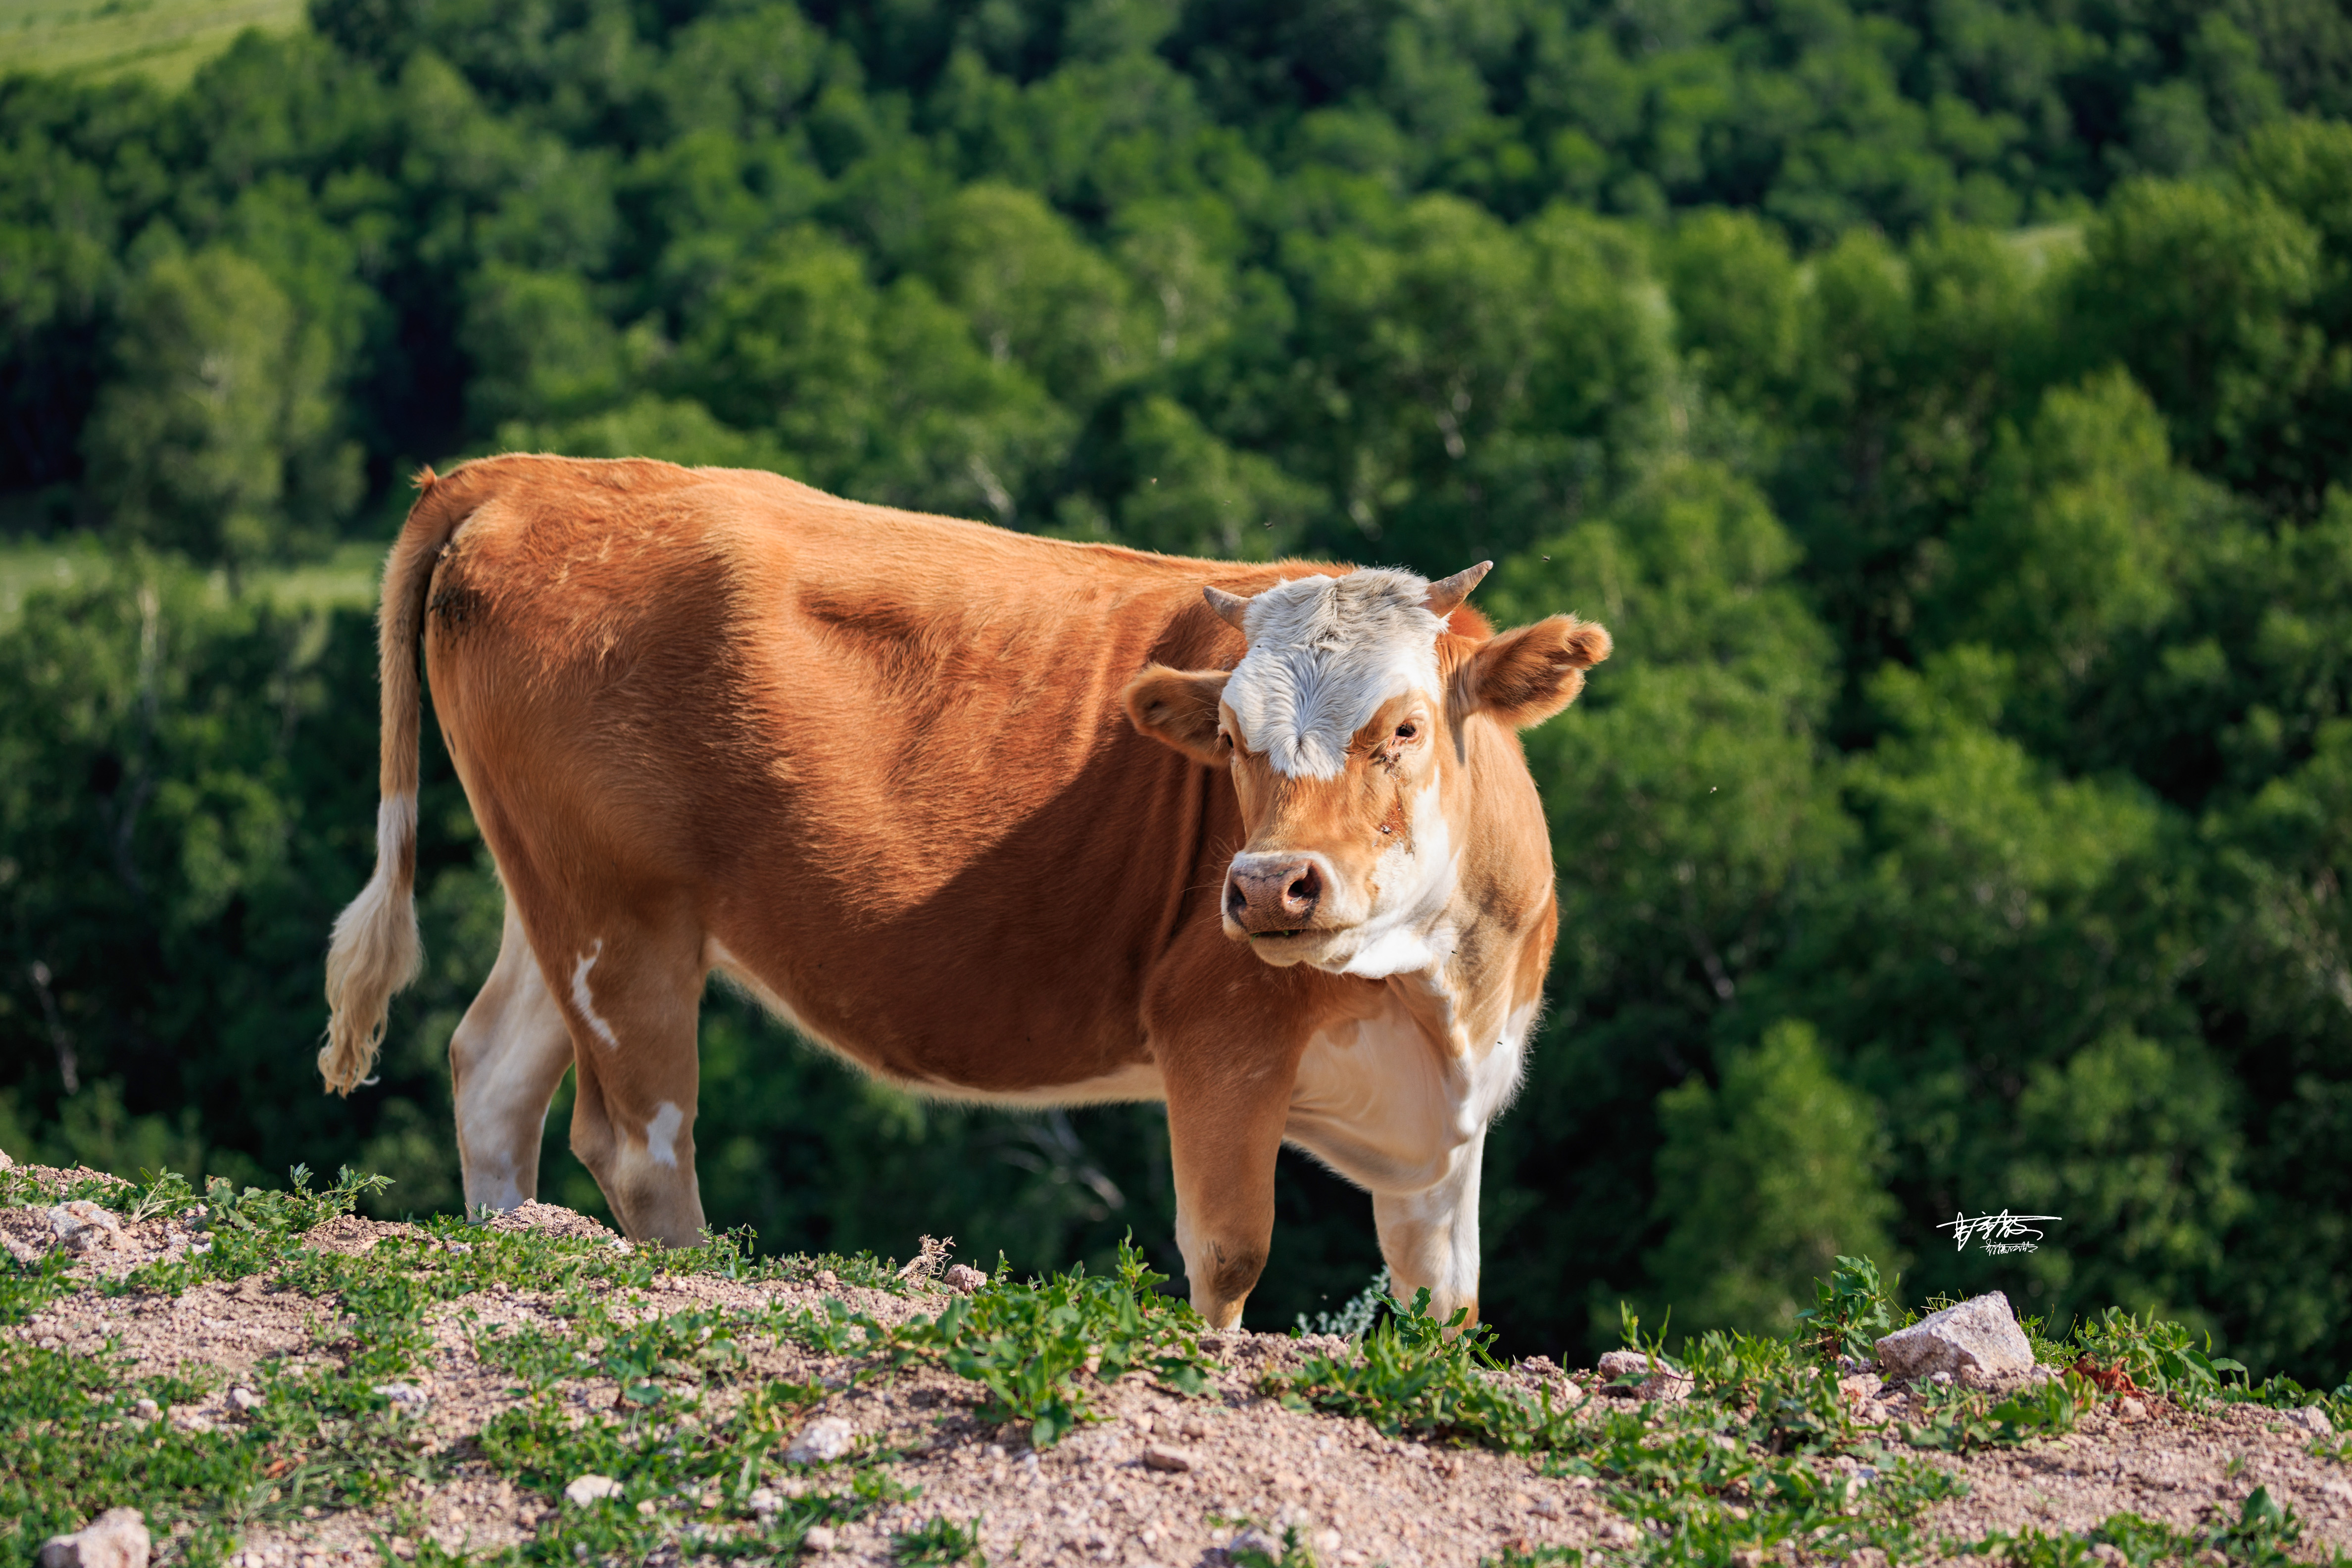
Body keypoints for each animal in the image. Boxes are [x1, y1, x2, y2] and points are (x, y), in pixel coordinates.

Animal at [322, 451, 1609, 1325]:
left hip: (557, 890)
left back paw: (508, 1245)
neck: (1432, 990)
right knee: (639, 1135)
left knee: (493, 1069)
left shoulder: (1449, 1113)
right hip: (619, 913)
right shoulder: (1219, 1035)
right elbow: (1228, 1256)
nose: (1265, 887)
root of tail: (539, 473)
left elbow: (1443, 1297)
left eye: (1404, 726)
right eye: (1233, 741)